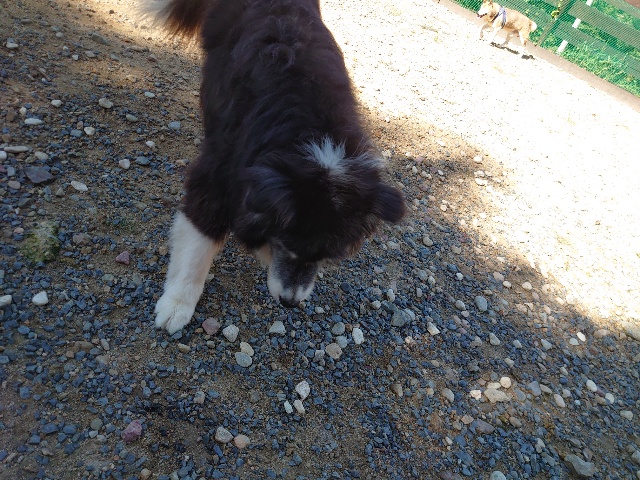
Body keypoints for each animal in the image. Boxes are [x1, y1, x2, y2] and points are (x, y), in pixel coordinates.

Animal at [150, 0, 406, 334]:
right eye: (287, 245)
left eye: (325, 256)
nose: (290, 303)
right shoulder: (217, 174)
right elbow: (198, 242)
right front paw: (178, 304)